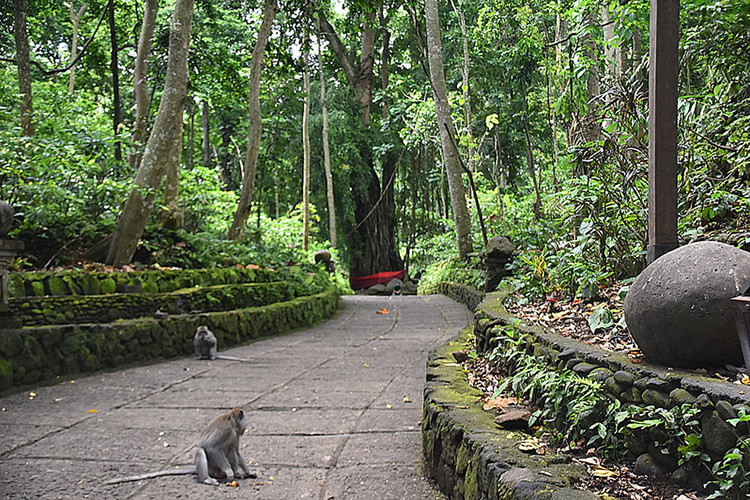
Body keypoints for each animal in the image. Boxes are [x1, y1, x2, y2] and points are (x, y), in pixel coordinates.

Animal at [104, 406, 258, 484]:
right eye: (245, 419)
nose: (245, 428)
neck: (233, 424)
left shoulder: (235, 434)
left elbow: (236, 451)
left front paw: (247, 471)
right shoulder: (225, 430)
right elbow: (211, 448)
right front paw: (230, 471)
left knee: (231, 450)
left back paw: (237, 474)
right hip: (212, 468)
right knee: (201, 451)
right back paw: (207, 479)